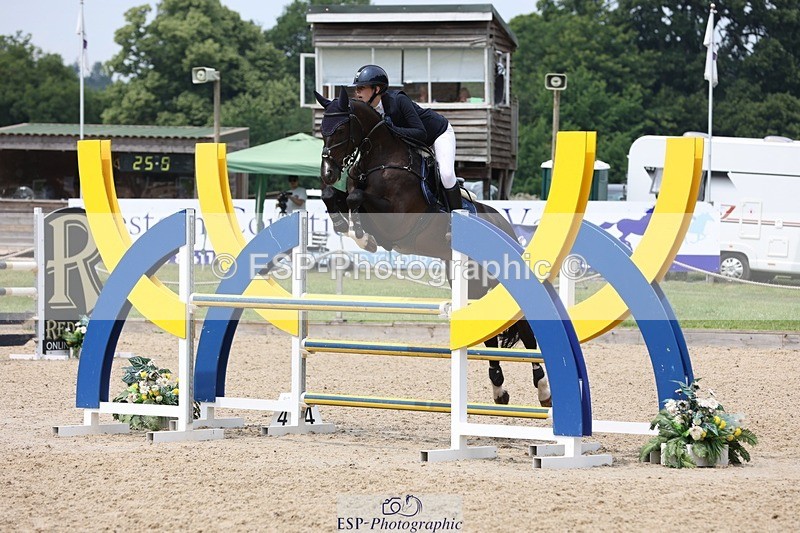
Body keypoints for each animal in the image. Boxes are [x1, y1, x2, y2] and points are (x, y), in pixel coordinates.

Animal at [314, 87, 551, 408]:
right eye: (321, 130)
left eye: (340, 129)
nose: (327, 171)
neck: (380, 160)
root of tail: (506, 227)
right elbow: (336, 196)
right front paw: (345, 225)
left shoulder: (397, 219)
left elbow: (356, 198)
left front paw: (362, 236)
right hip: (473, 284)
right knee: (489, 331)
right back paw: (499, 389)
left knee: (526, 331)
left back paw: (543, 389)